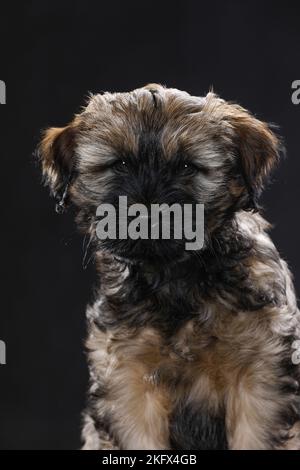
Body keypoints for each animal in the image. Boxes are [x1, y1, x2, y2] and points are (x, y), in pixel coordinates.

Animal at [39, 85, 300, 452]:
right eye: (120, 164)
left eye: (188, 166)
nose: (148, 214)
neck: (176, 277)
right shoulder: (129, 384)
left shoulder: (260, 378)